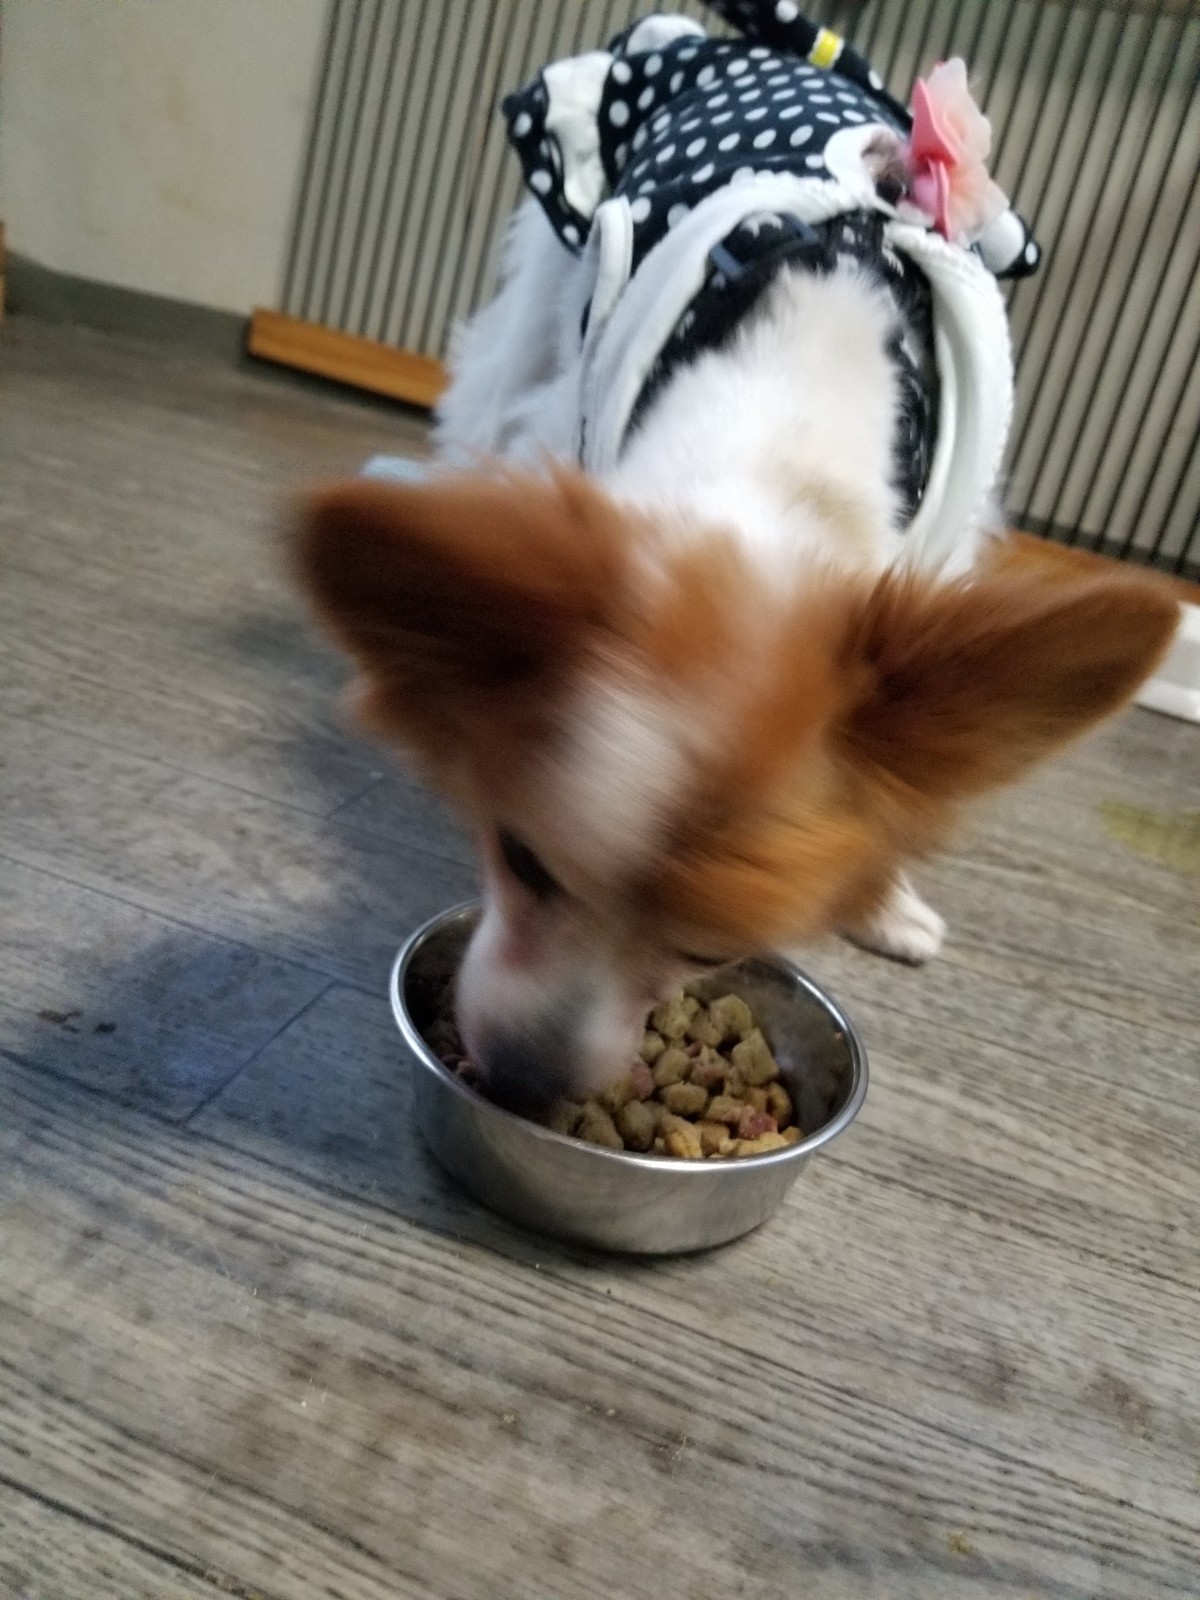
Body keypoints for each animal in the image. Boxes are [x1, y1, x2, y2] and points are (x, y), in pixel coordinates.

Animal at [295, 6, 1178, 1108]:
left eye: (711, 950)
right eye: (520, 858)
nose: (529, 1082)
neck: (779, 447)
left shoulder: (936, 567)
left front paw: (885, 899)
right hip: (545, 307)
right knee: (487, 410)